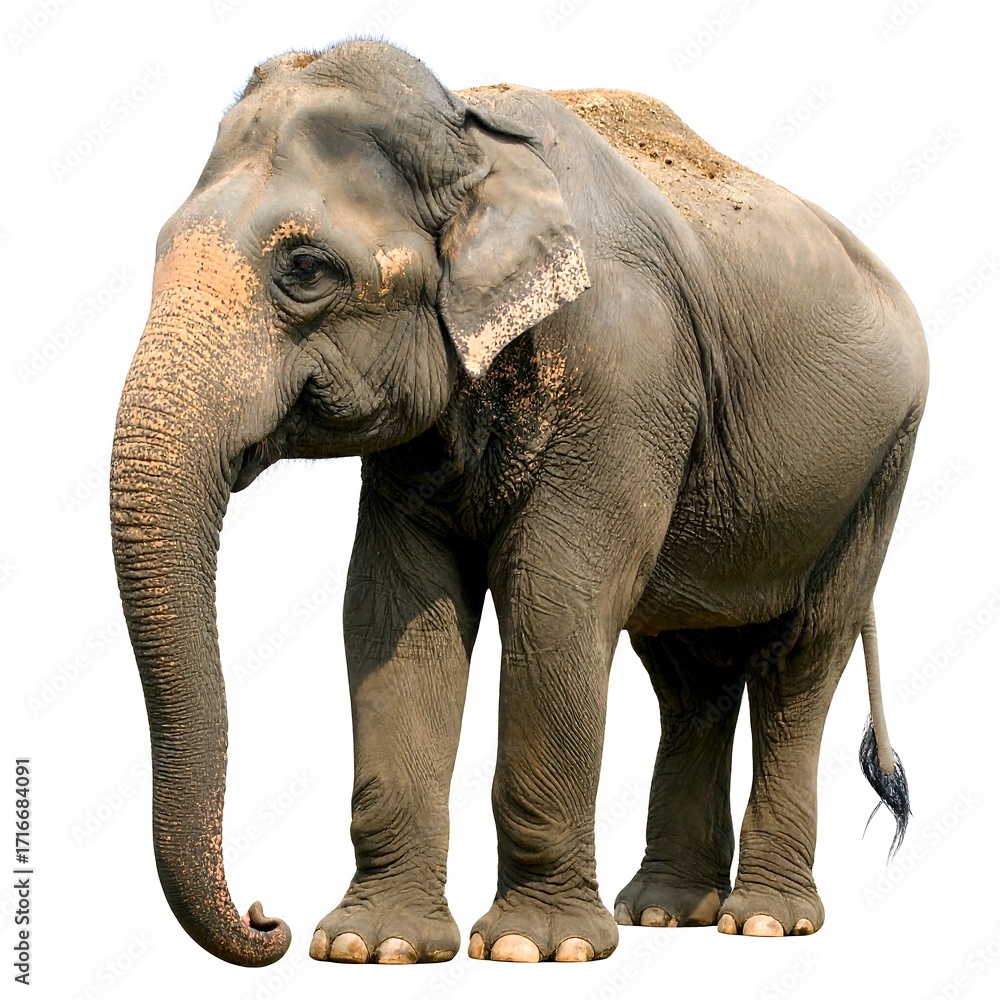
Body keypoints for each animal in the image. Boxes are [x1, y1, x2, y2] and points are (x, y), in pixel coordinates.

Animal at [109, 39, 927, 968]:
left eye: (305, 269)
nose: (263, 915)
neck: (469, 127)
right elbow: (393, 607)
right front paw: (372, 946)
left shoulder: (625, 375)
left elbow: (556, 596)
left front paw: (534, 948)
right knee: (690, 676)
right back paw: (665, 914)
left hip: (880, 467)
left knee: (801, 660)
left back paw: (761, 921)